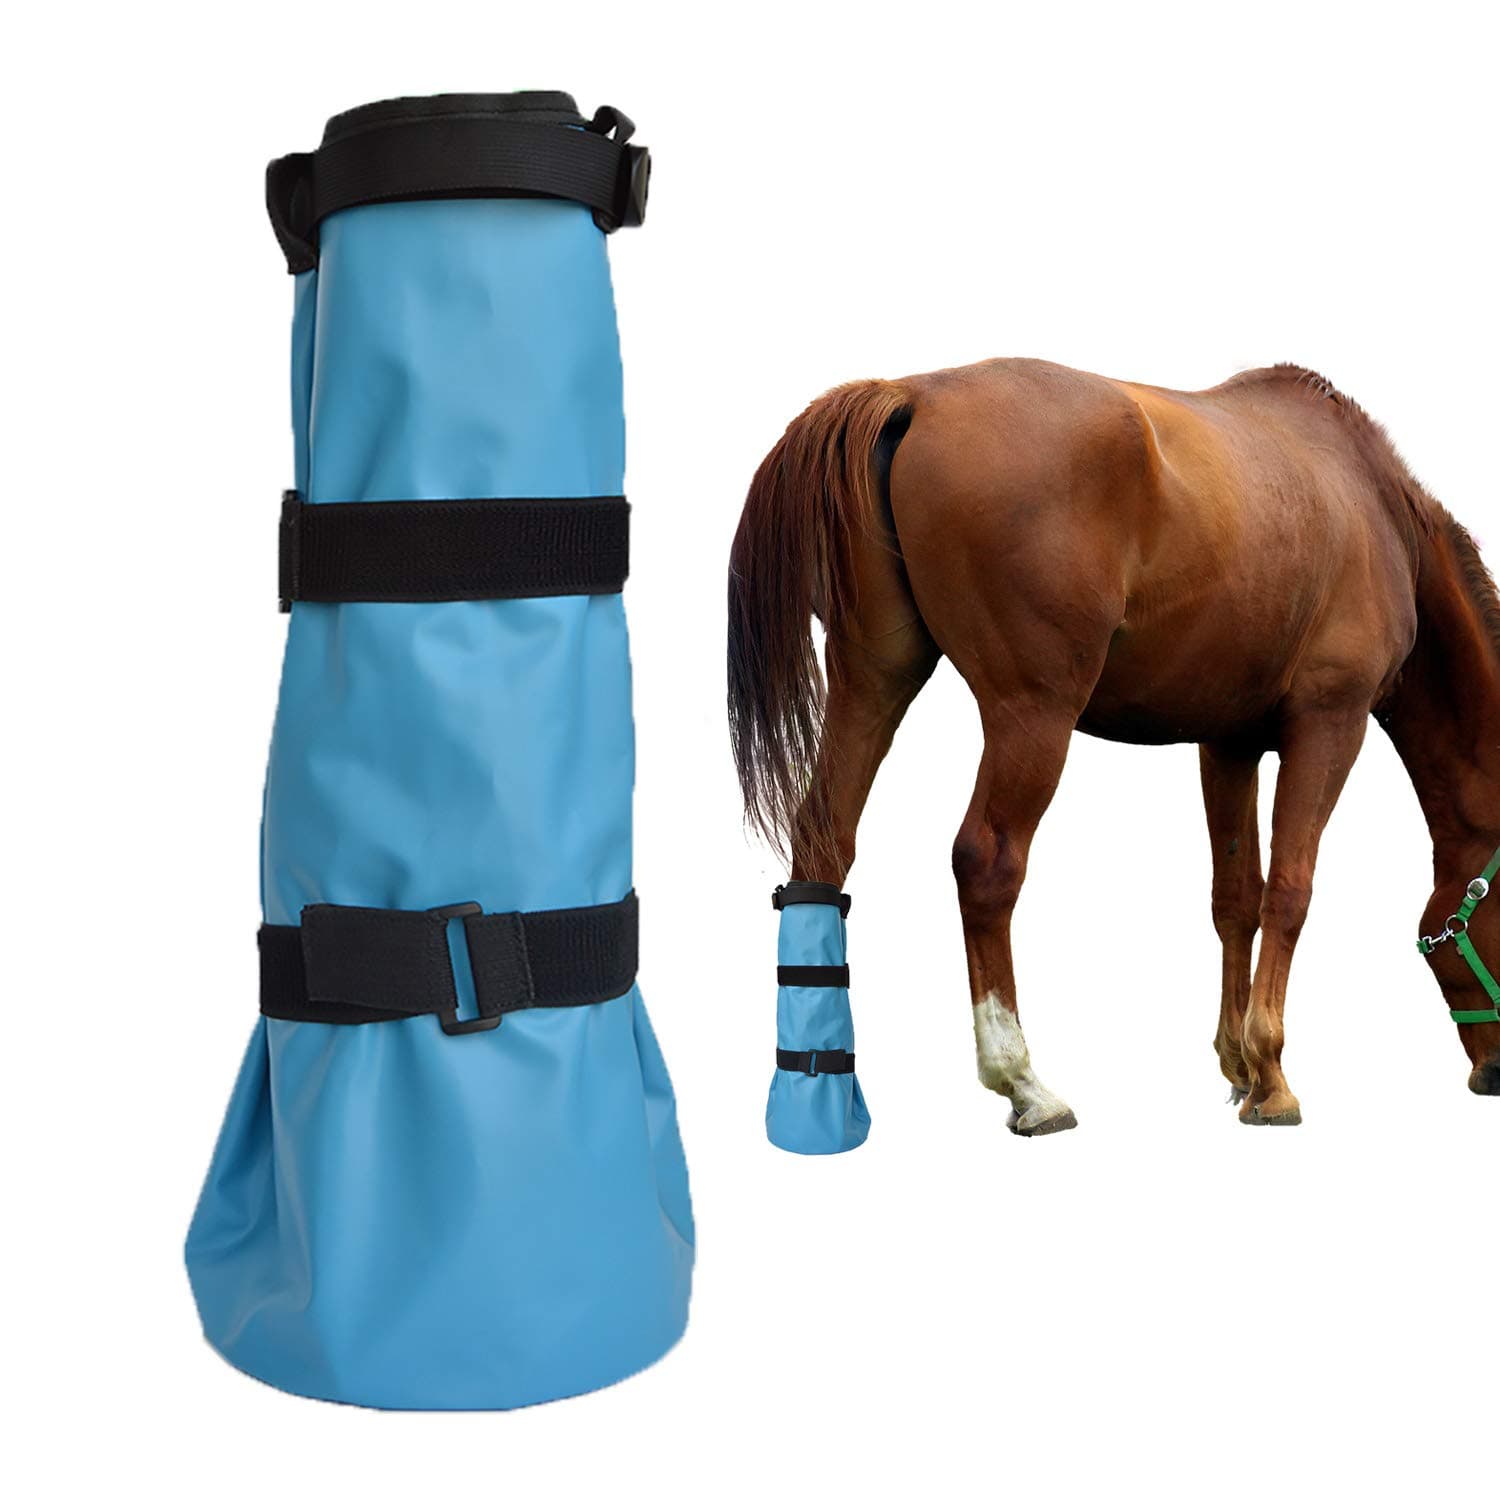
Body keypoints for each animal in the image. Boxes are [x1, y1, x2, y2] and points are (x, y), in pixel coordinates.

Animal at [727, 359, 1500, 1131]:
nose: (1494, 1073)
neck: (1376, 512)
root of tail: (914, 394)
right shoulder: (1330, 723)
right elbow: (1289, 891)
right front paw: (1272, 1075)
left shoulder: (1228, 743)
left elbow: (1236, 897)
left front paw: (1238, 1065)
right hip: (1032, 715)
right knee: (985, 862)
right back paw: (1023, 1082)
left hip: (873, 683)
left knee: (824, 844)